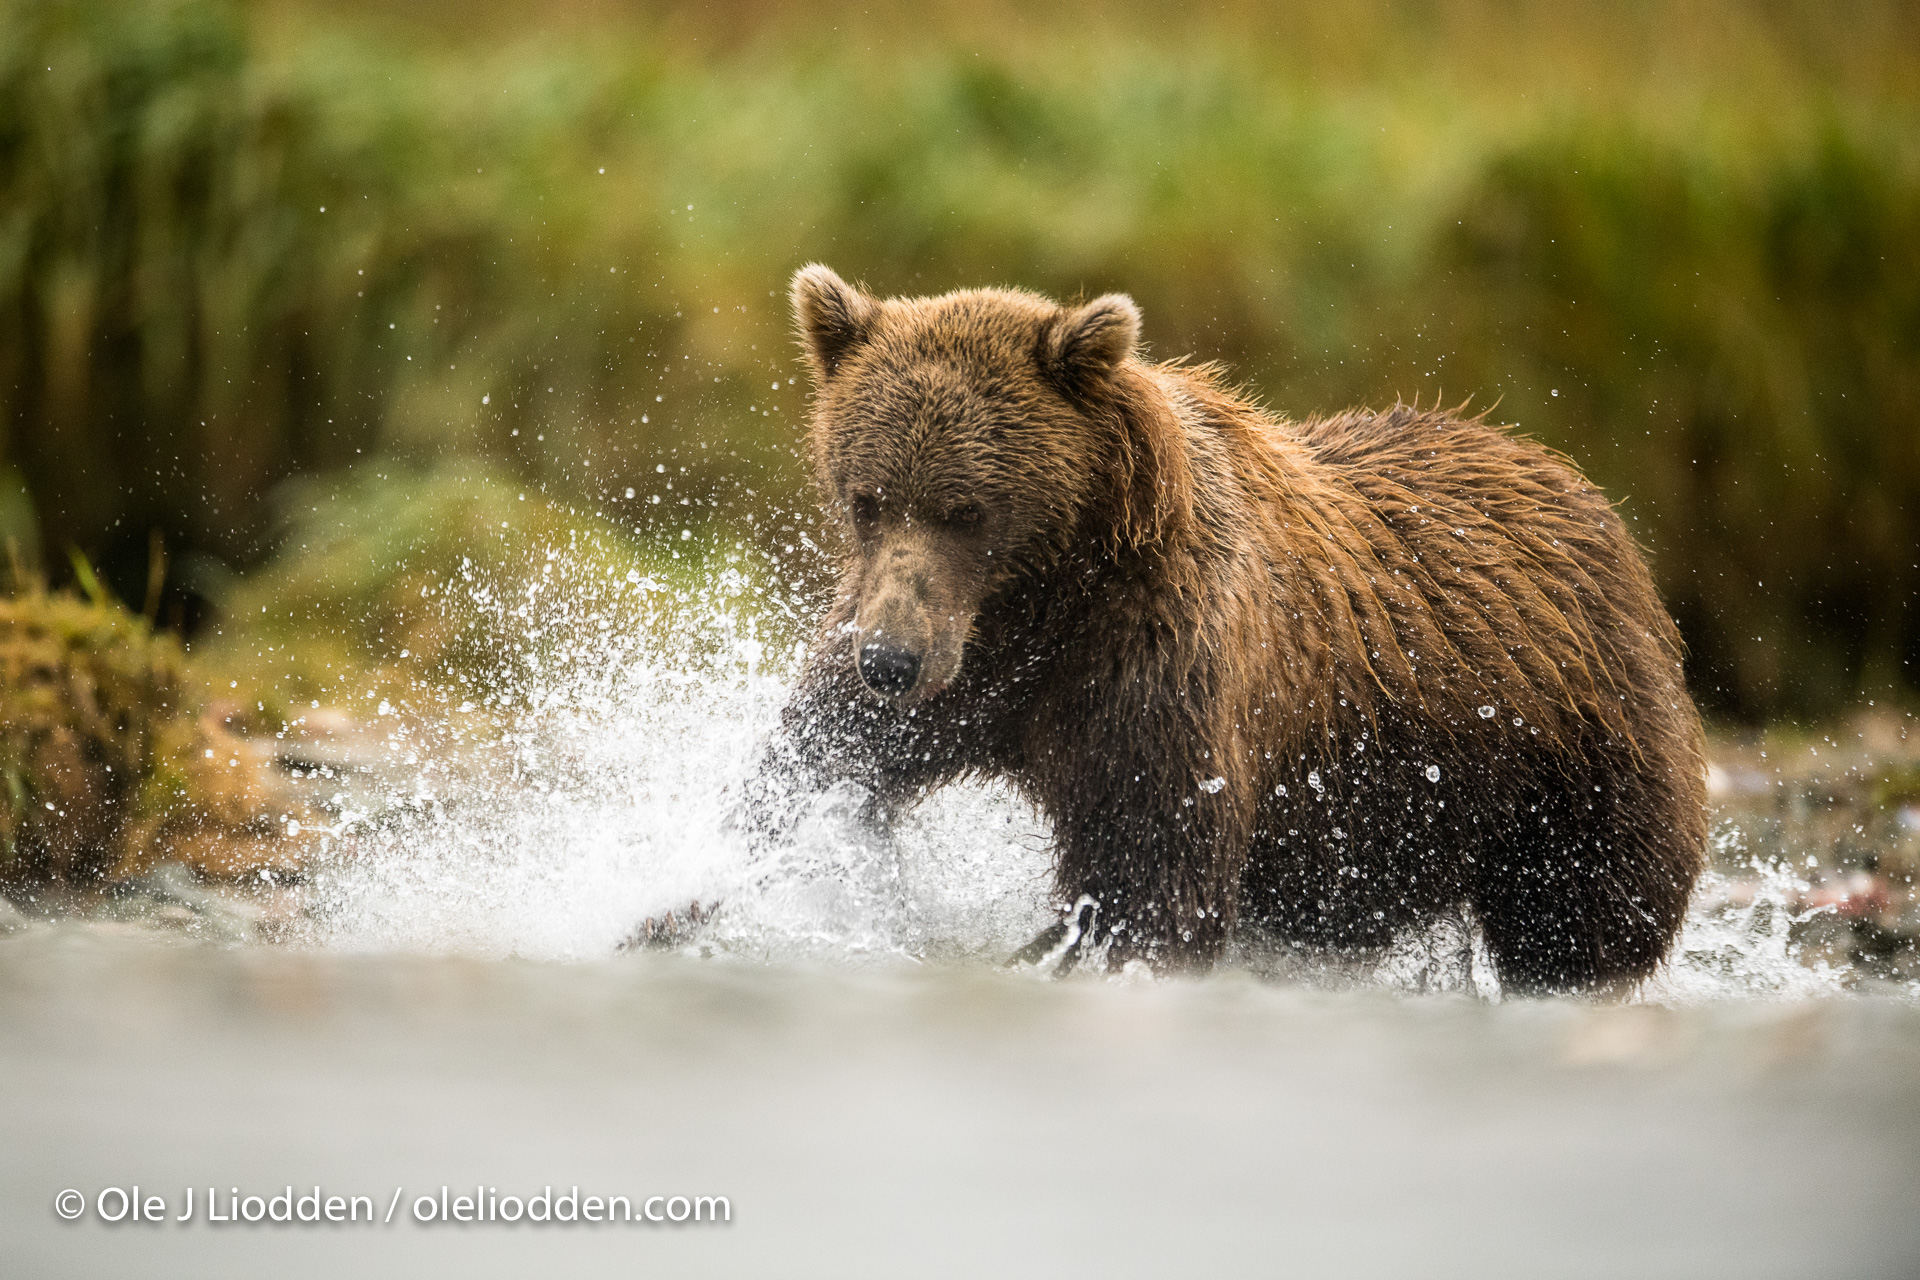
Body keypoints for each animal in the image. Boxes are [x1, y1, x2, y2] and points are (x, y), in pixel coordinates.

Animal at [752, 264, 1712, 997]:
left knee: (1584, 919)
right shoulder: (967, 661)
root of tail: (1581, 493)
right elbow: (815, 760)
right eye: (868, 498)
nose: (892, 660)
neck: (1052, 593)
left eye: (967, 510)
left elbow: (1151, 866)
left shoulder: (1158, 666)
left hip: (1568, 758)